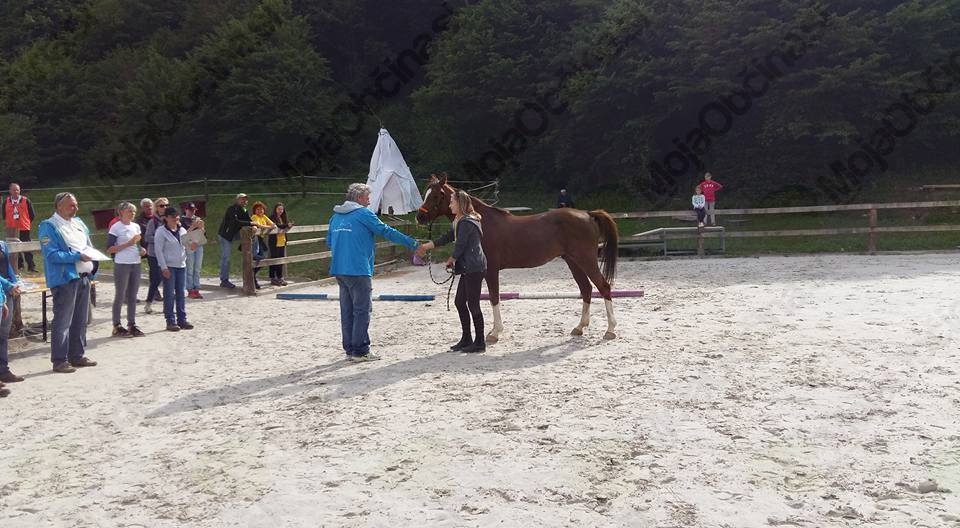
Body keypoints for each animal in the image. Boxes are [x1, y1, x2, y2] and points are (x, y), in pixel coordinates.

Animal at [416, 173, 619, 342]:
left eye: (435, 196)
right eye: (426, 194)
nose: (419, 217)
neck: (481, 221)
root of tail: (588, 214)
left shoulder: (491, 271)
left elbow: (494, 298)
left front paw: (495, 333)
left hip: (586, 260)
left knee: (603, 287)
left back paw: (610, 330)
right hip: (573, 262)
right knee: (586, 289)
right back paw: (580, 327)